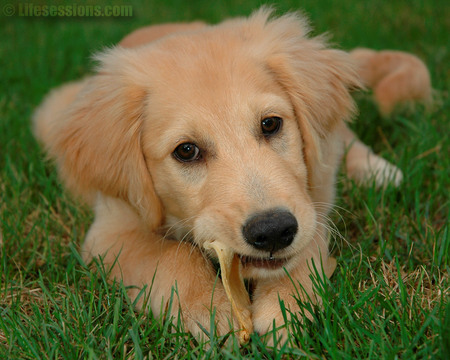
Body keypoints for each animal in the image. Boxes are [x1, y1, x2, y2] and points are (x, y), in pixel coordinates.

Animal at [33, 8, 402, 344]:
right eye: (186, 151)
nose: (273, 231)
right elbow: (172, 256)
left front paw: (284, 304)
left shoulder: (313, 200)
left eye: (271, 124)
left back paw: (375, 169)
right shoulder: (111, 232)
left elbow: (308, 243)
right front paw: (210, 310)